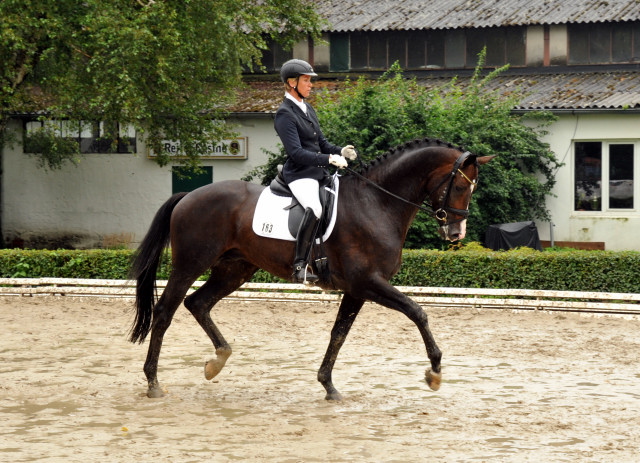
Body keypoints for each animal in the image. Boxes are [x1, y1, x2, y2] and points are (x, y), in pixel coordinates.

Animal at [129, 137, 490, 398]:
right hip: (190, 264)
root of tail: (190, 194)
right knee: (165, 311)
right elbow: (418, 312)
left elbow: (339, 333)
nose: (456, 233)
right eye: (460, 186)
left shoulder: (358, 289)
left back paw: (217, 361)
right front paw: (435, 372)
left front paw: (328, 385)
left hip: (235, 269)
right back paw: (153, 383)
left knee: (198, 303)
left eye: (472, 189)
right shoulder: (368, 282)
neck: (376, 203)